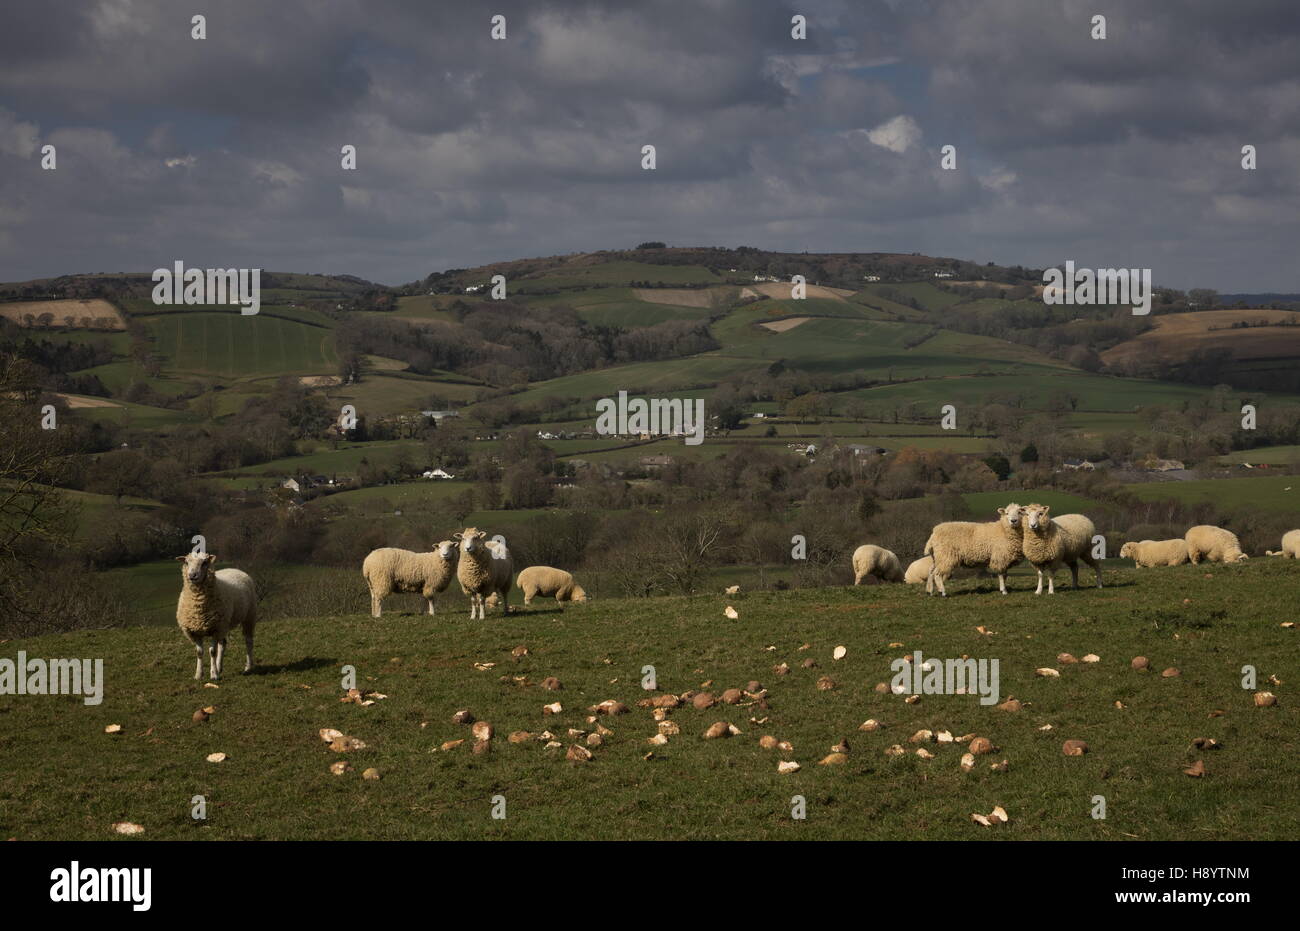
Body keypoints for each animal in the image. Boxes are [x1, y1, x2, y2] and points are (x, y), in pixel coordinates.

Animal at [175, 548, 256, 681]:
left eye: (204, 563)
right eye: (186, 562)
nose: (192, 576)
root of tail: (233, 568)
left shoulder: (215, 629)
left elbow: (212, 651)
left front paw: (213, 675)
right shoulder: (195, 630)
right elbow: (199, 652)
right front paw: (199, 674)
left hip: (249, 615)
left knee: (248, 640)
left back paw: (248, 667)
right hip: (224, 624)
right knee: (223, 644)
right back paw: (219, 667)